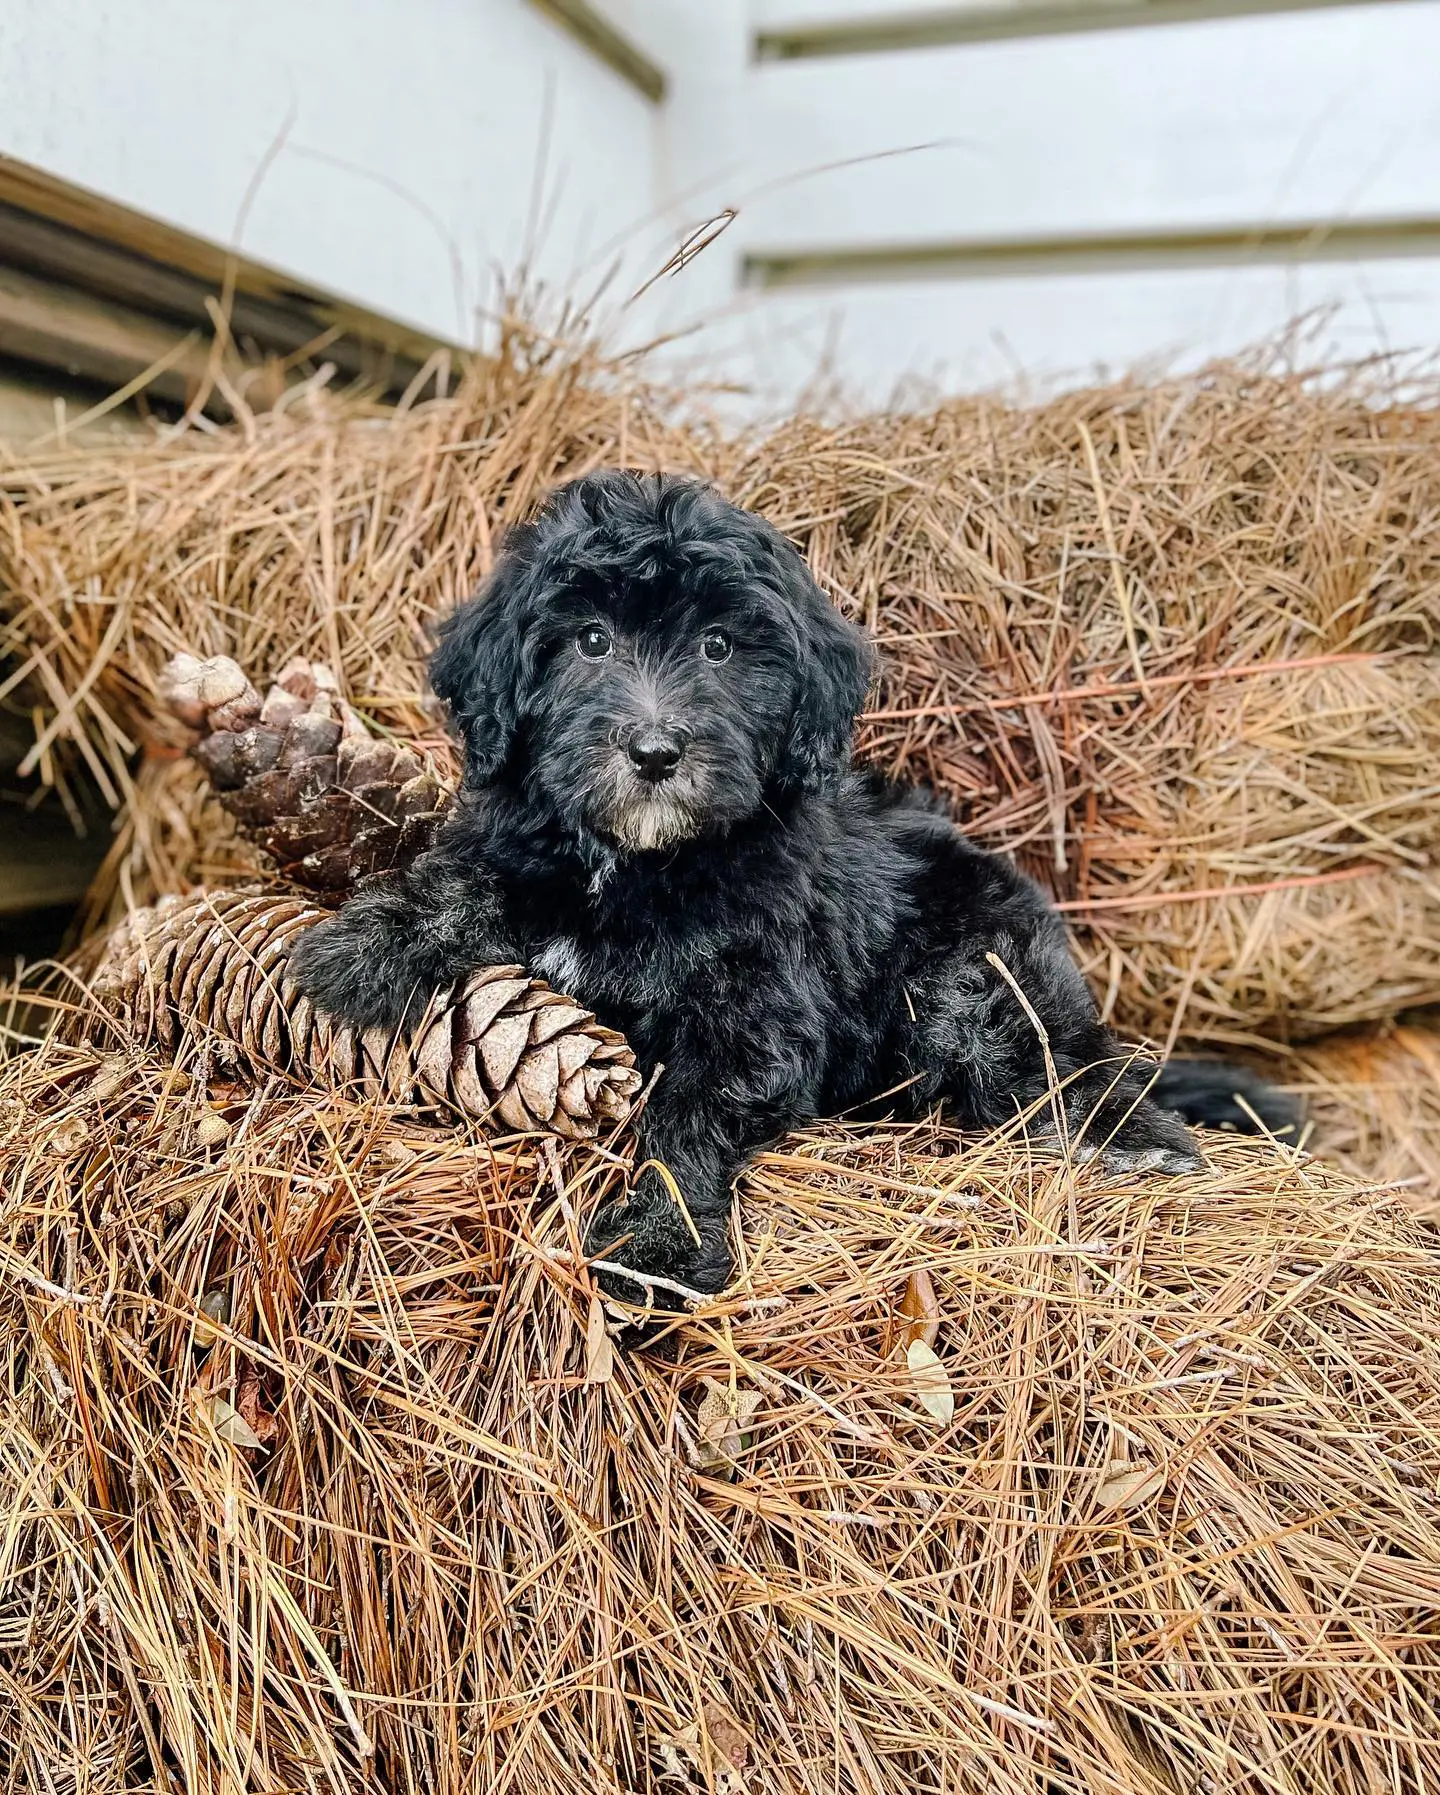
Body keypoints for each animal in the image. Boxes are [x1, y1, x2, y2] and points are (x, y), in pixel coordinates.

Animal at [285, 470, 1285, 1299]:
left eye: (721, 647)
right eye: (590, 641)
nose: (655, 752)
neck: (642, 863)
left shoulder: (759, 1010)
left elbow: (688, 1111)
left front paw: (660, 1243)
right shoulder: (529, 849)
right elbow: (469, 879)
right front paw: (367, 943)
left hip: (972, 972)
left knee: (1061, 1053)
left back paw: (1134, 1140)